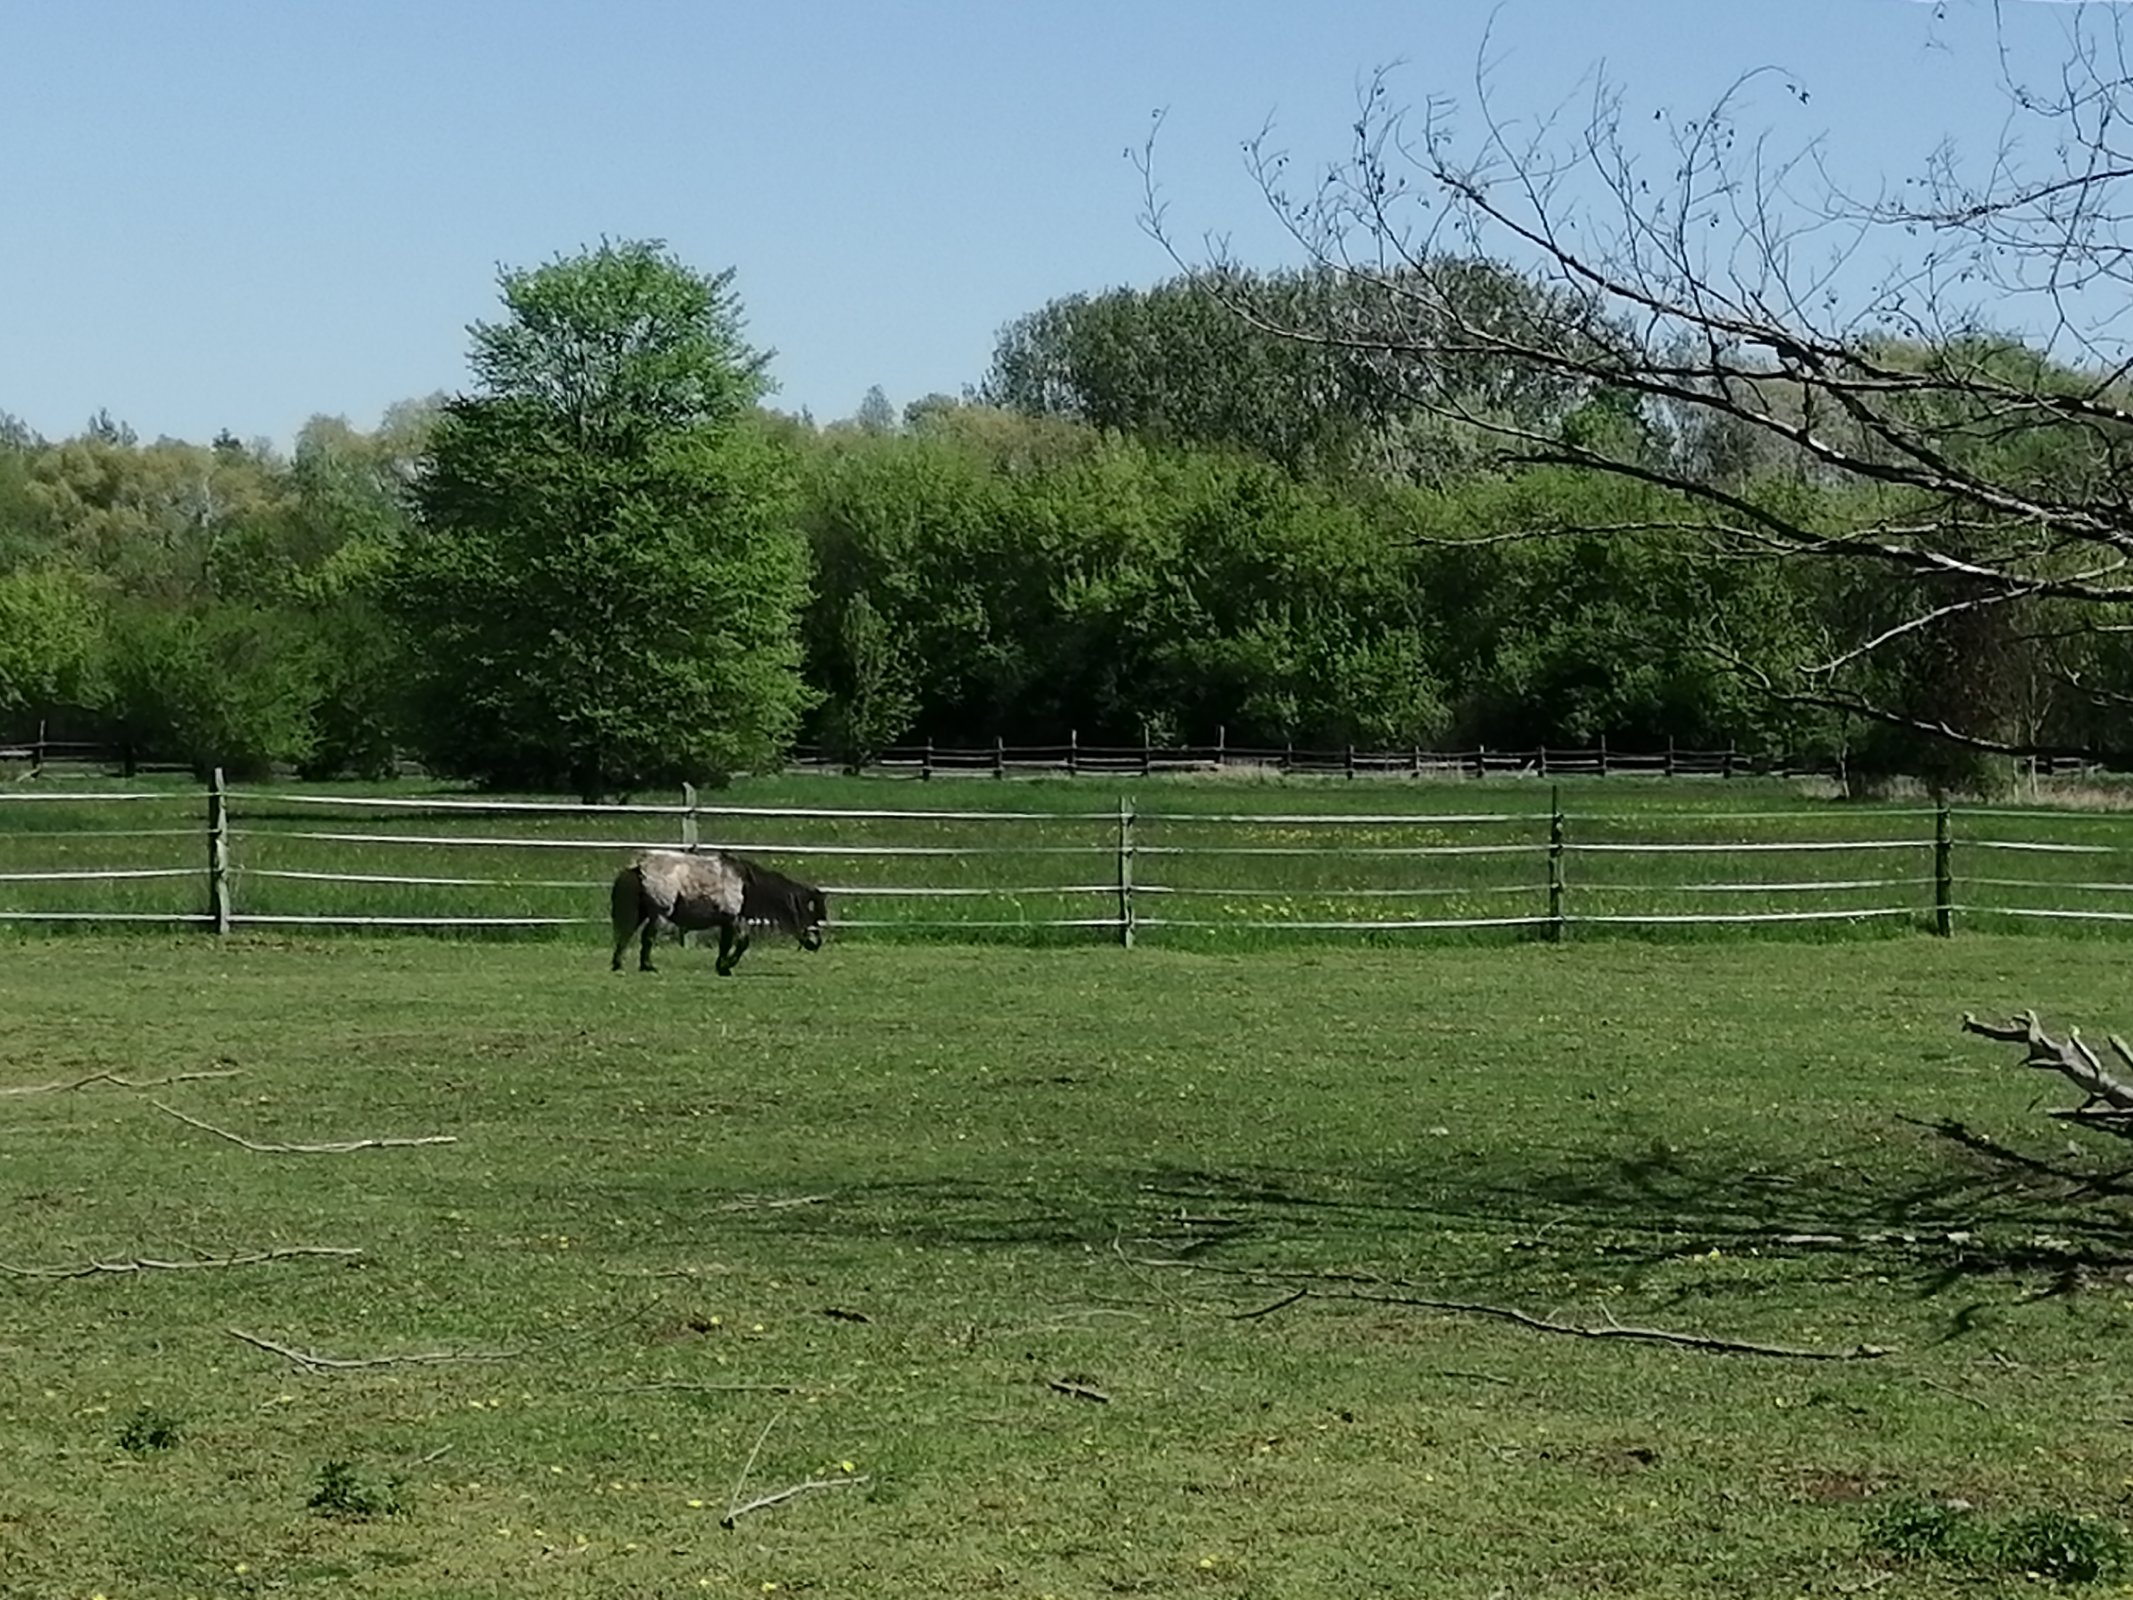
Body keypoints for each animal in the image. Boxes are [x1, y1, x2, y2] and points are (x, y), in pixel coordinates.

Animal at [609, 850, 829, 976]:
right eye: (810, 914)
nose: (816, 944)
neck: (745, 884)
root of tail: (638, 866)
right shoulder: (735, 919)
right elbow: (741, 943)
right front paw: (726, 966)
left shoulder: (727, 921)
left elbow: (725, 945)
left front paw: (722, 966)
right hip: (659, 914)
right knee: (647, 937)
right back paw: (648, 966)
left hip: (642, 913)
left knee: (626, 935)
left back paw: (619, 964)